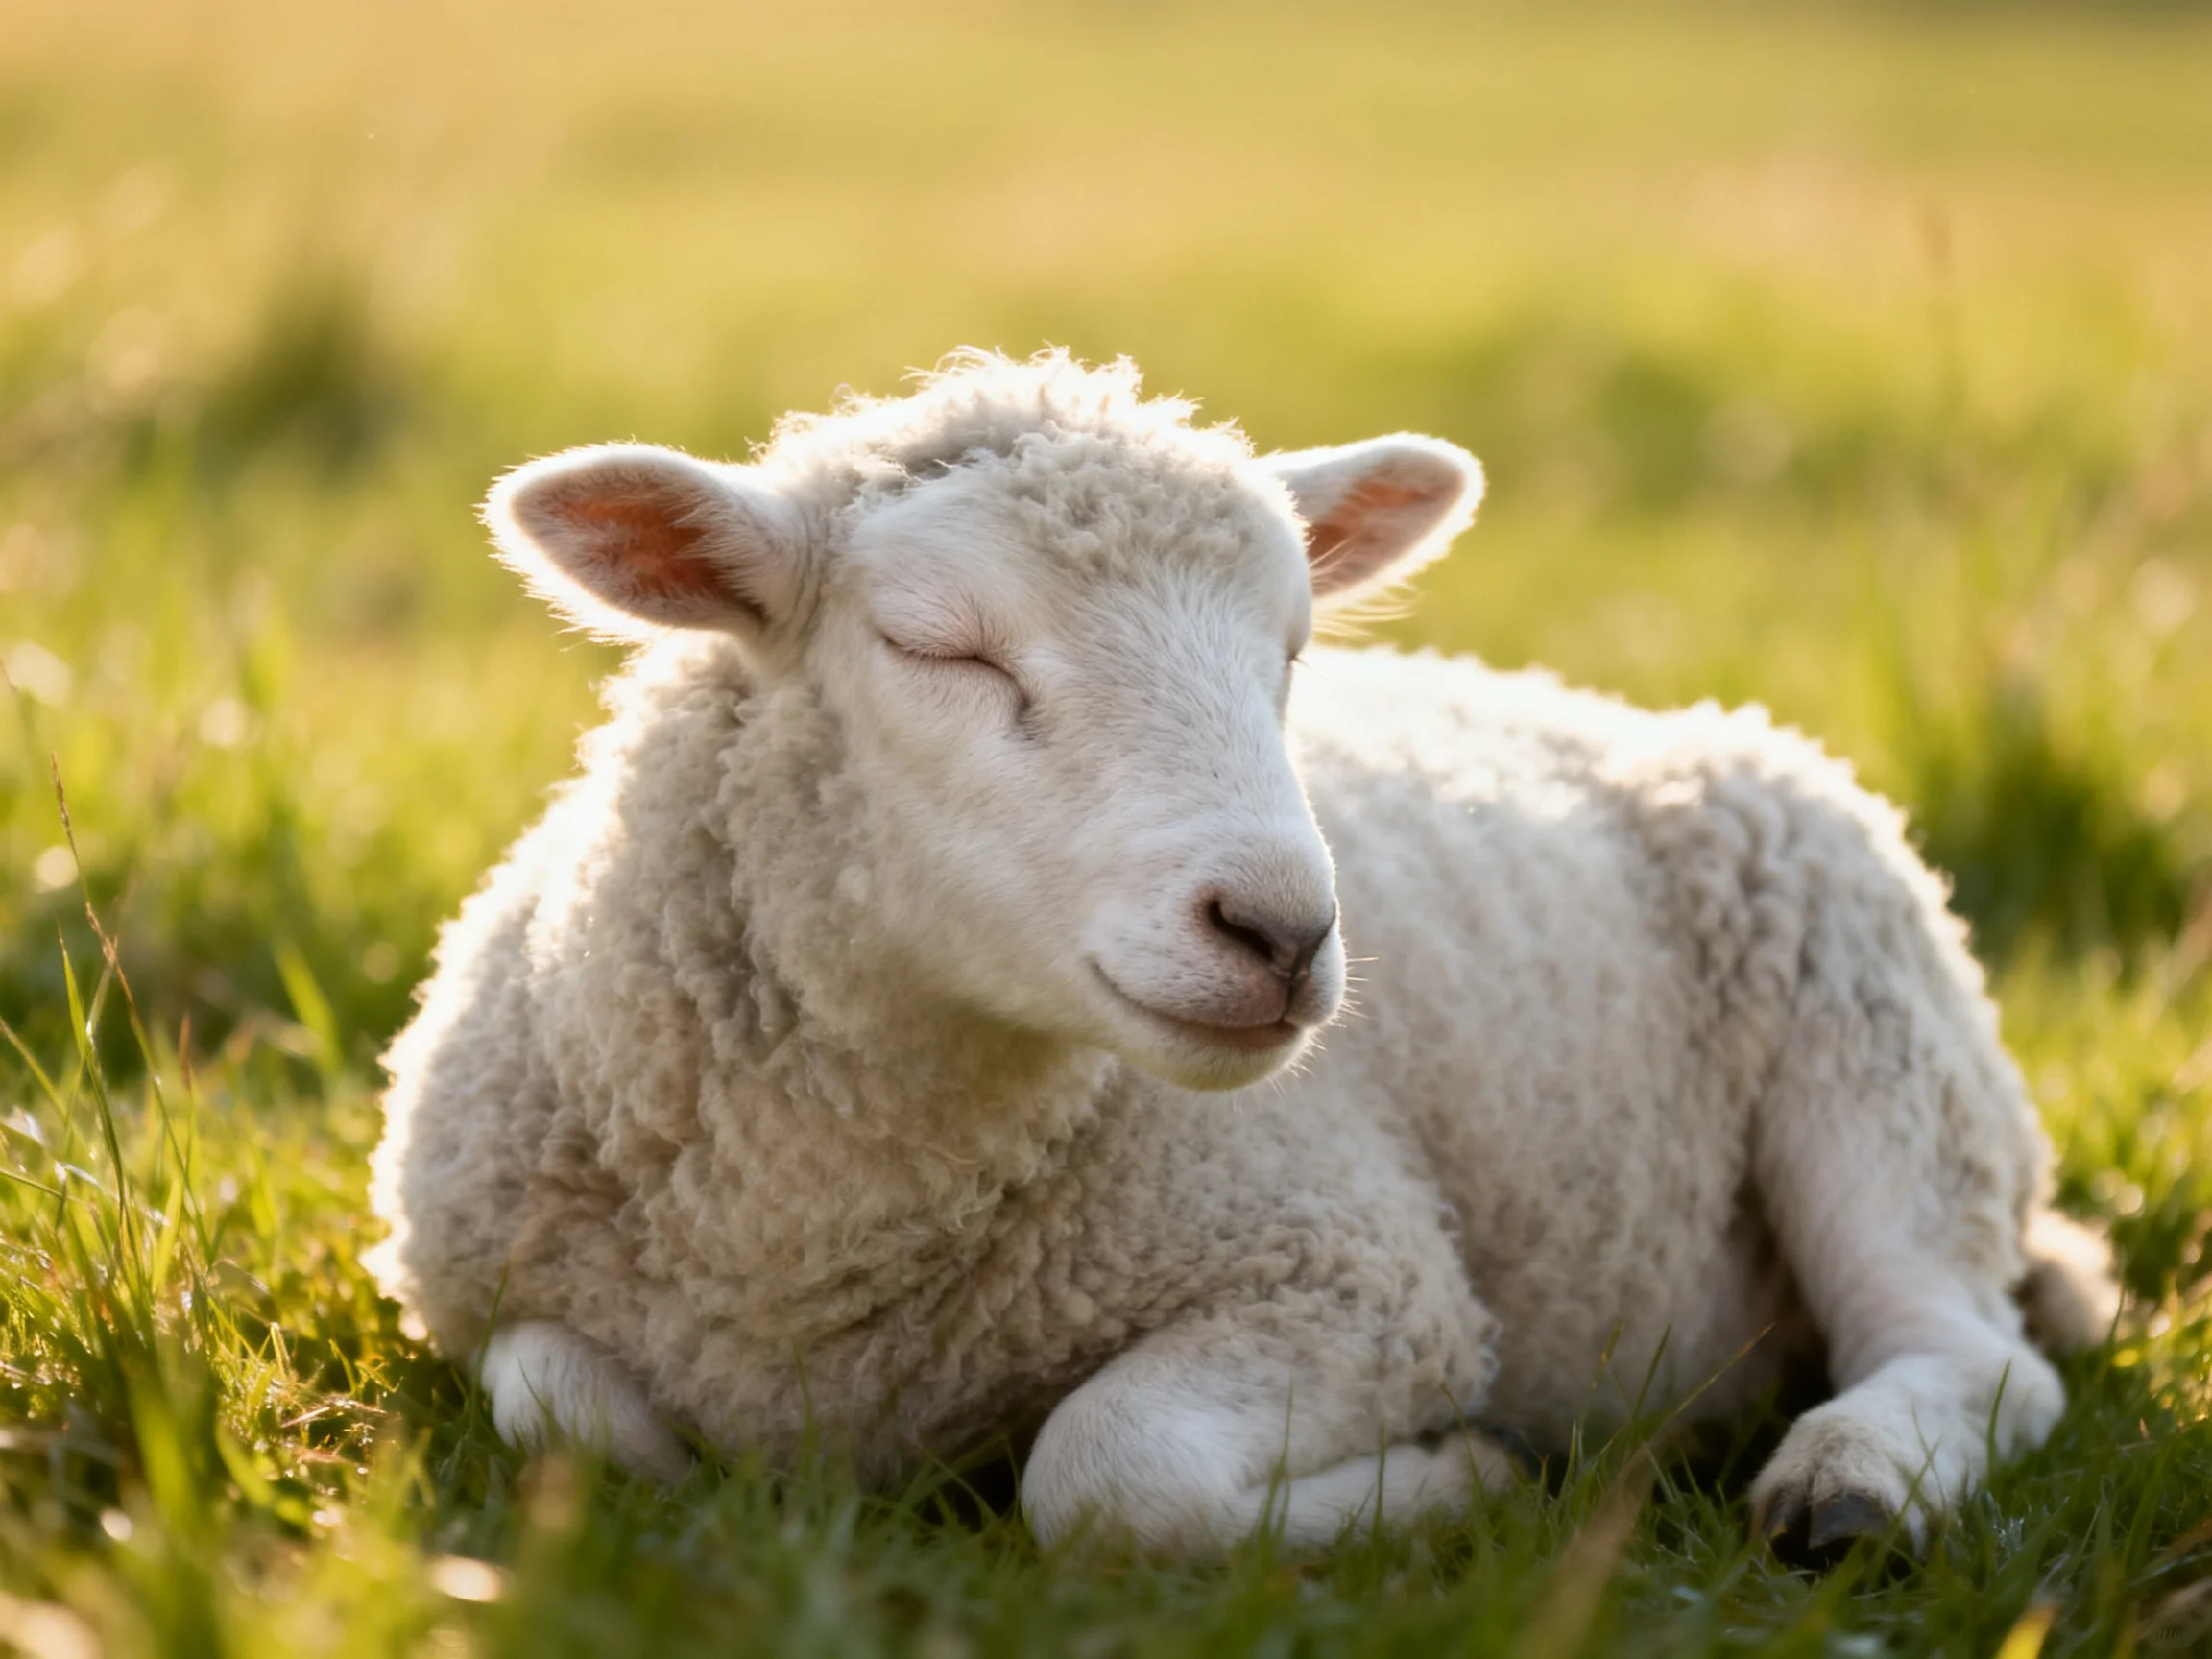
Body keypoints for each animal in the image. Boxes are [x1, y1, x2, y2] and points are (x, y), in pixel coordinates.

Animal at [367, 349, 2117, 1560]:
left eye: (1290, 652)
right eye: (940, 647)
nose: (1281, 930)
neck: (814, 1249)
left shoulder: (1364, 1276)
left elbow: (1108, 1475)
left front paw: (1462, 1479)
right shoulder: (494, 1297)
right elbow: (564, 1416)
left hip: (1868, 1029)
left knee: (1974, 1356)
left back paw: (1849, 1484)